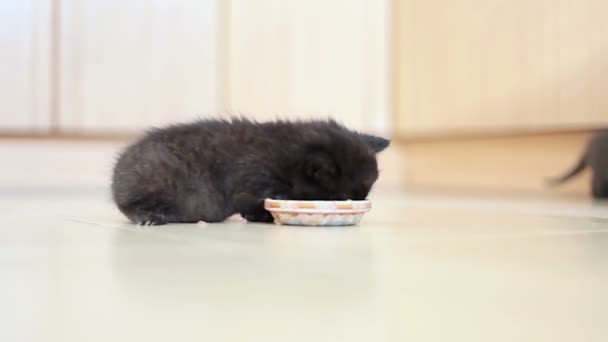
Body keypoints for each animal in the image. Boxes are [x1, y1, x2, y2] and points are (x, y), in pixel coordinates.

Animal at [111, 119, 390, 226]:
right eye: (342, 198)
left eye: (364, 196)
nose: (360, 202)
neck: (284, 155)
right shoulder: (252, 177)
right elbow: (259, 196)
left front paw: (259, 216)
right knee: (130, 206)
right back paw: (149, 216)